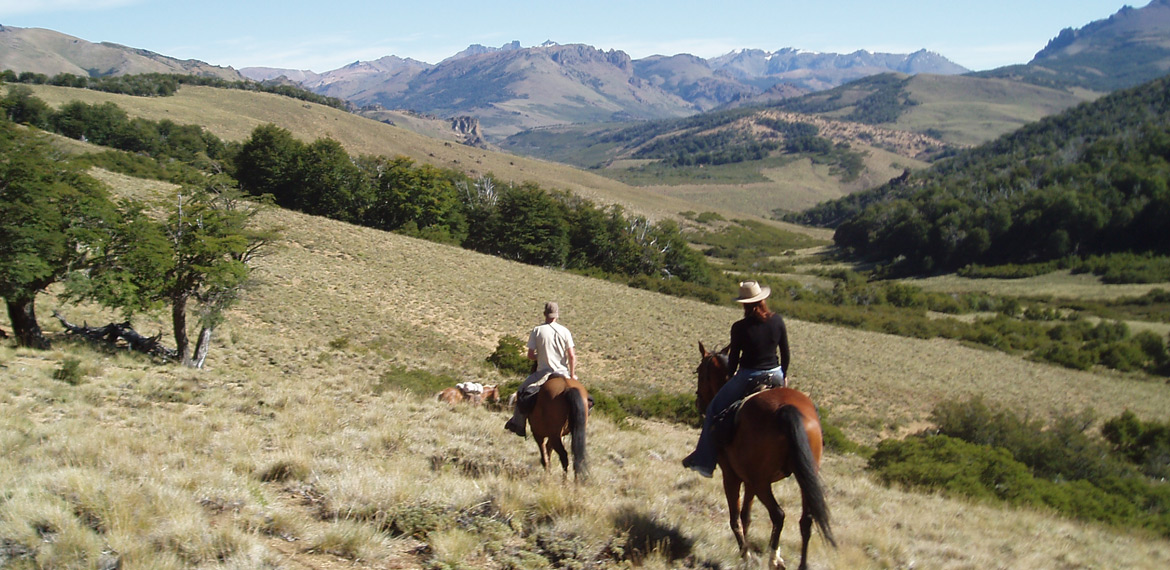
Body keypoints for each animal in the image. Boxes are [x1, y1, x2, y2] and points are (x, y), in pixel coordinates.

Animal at [692, 344, 833, 570]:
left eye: (699, 371)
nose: (698, 401)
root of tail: (786, 409)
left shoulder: (732, 476)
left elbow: (735, 518)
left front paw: (746, 555)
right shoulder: (749, 480)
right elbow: (746, 516)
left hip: (762, 483)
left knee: (778, 514)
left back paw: (773, 559)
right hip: (804, 476)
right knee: (806, 520)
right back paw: (800, 564)